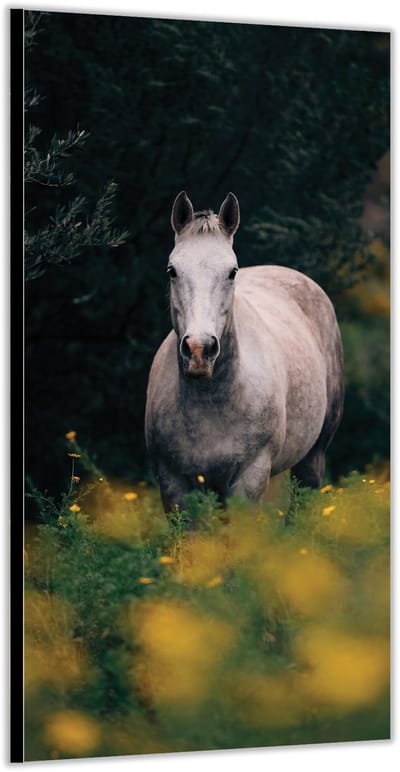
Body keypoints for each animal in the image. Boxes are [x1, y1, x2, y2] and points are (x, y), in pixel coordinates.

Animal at [145, 192, 344, 523]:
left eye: (232, 272)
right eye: (172, 270)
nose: (199, 350)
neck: (211, 403)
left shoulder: (249, 479)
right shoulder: (174, 484)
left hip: (313, 458)